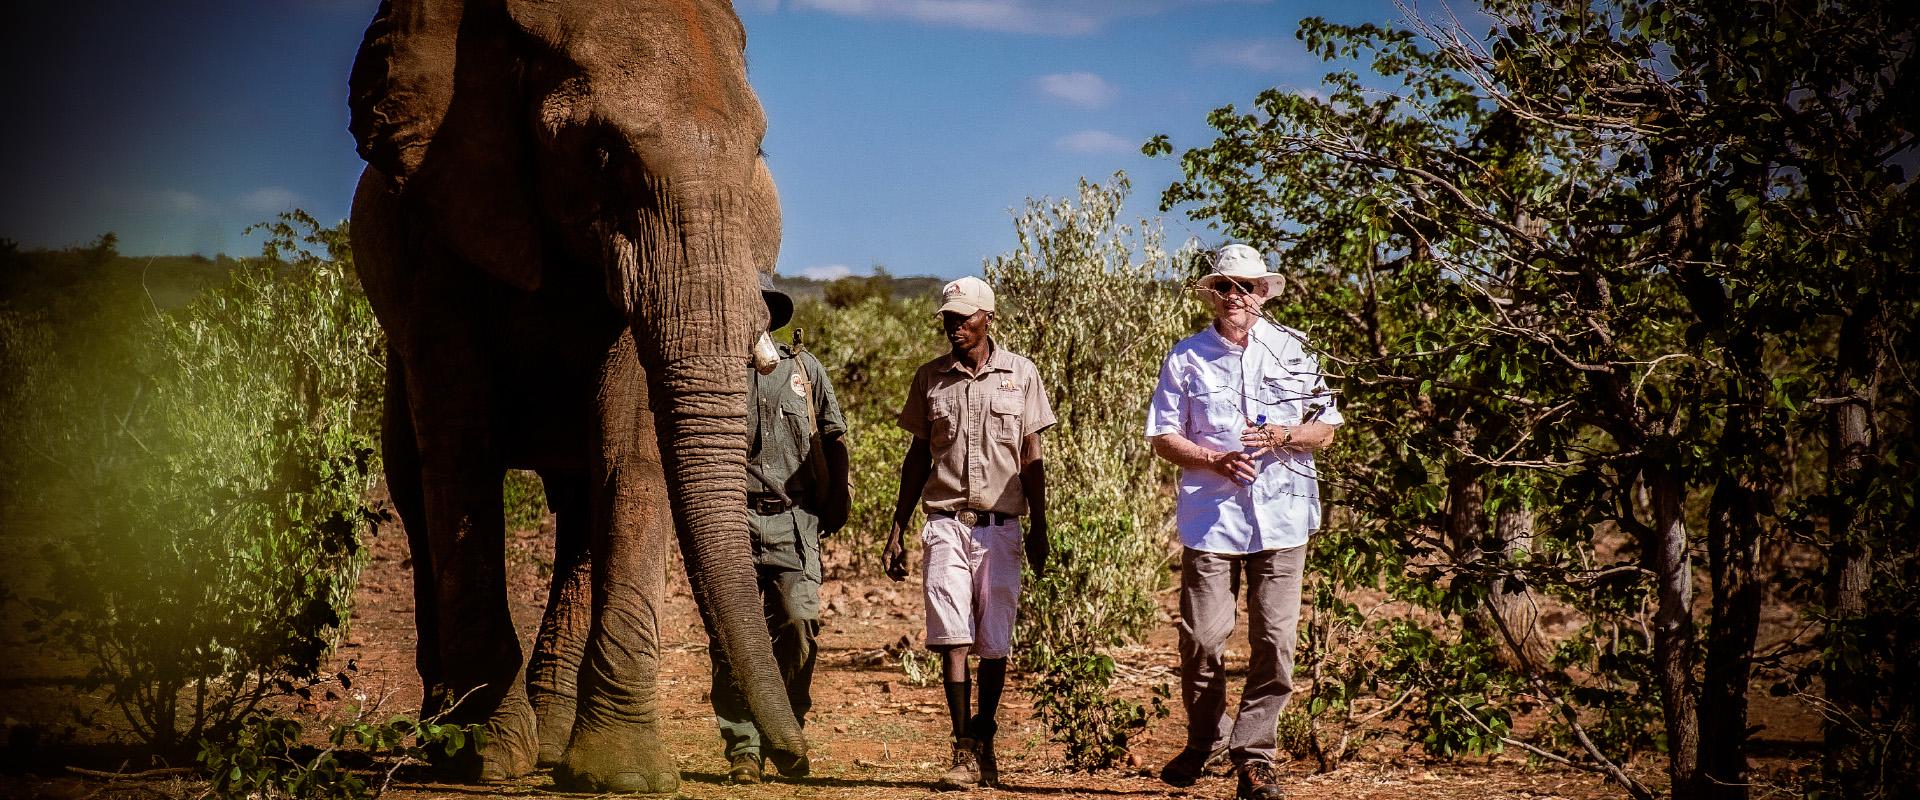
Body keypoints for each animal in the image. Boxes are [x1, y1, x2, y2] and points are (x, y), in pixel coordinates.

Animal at [346, 0, 804, 791]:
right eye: (600, 153)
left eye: (758, 152)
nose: (797, 761)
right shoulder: (435, 224)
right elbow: (461, 446)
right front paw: (484, 757)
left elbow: (632, 448)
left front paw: (621, 776)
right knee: (412, 481)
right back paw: (447, 733)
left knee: (584, 500)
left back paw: (554, 738)